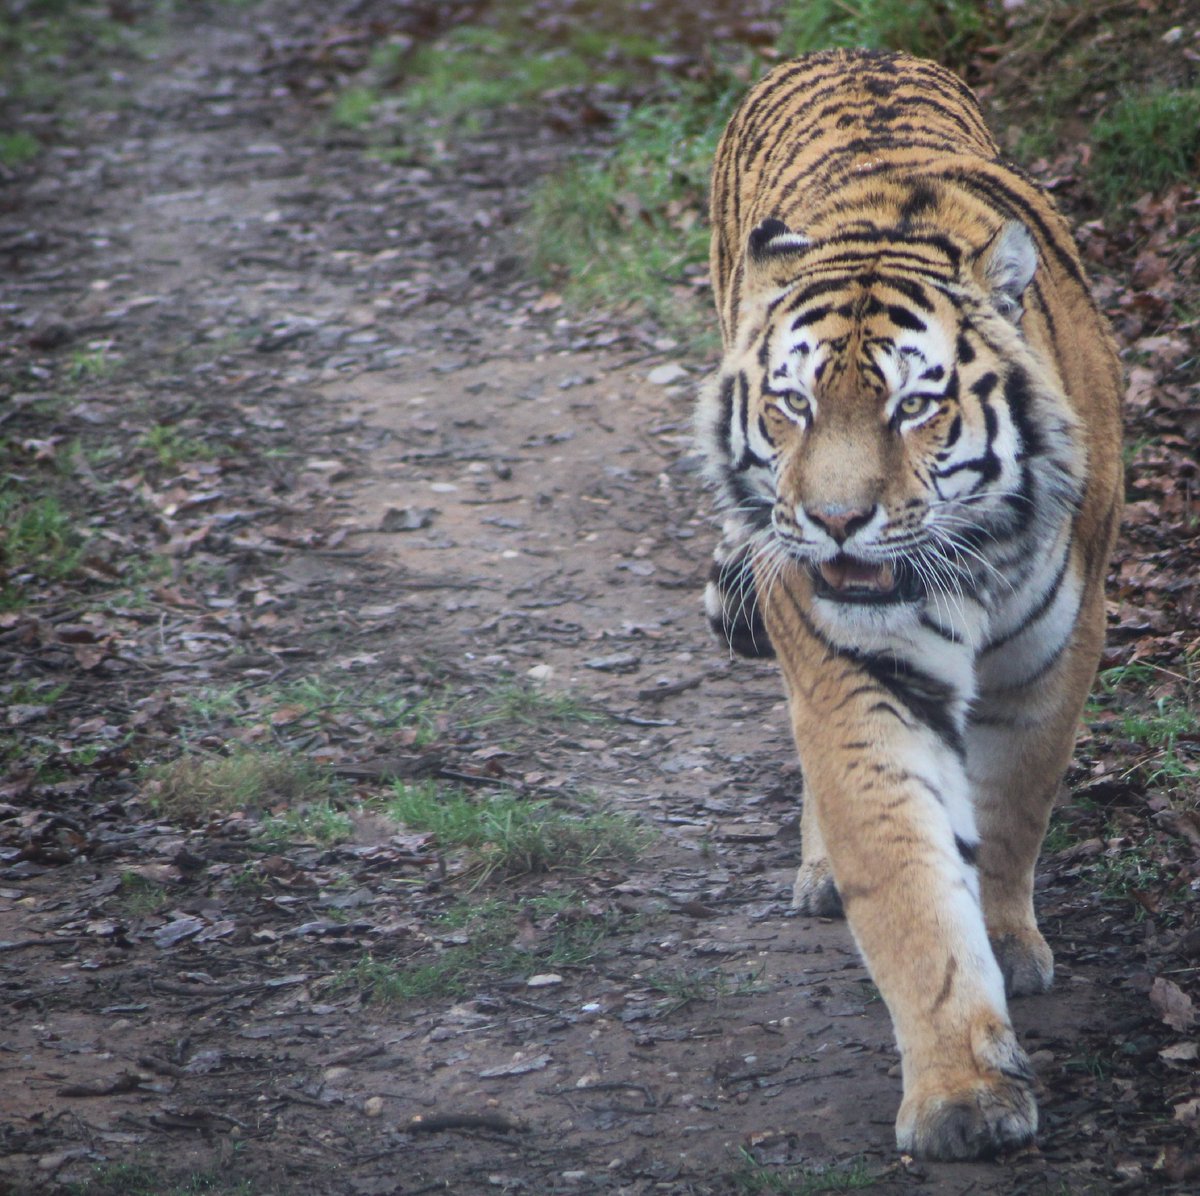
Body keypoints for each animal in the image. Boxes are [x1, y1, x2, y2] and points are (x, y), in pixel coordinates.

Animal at [696, 49, 1122, 1160]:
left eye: (914, 405)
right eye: (793, 404)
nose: (836, 521)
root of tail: (852, 49)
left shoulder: (1056, 652)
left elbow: (1012, 807)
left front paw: (1008, 944)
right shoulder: (858, 669)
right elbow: (906, 881)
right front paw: (963, 1095)